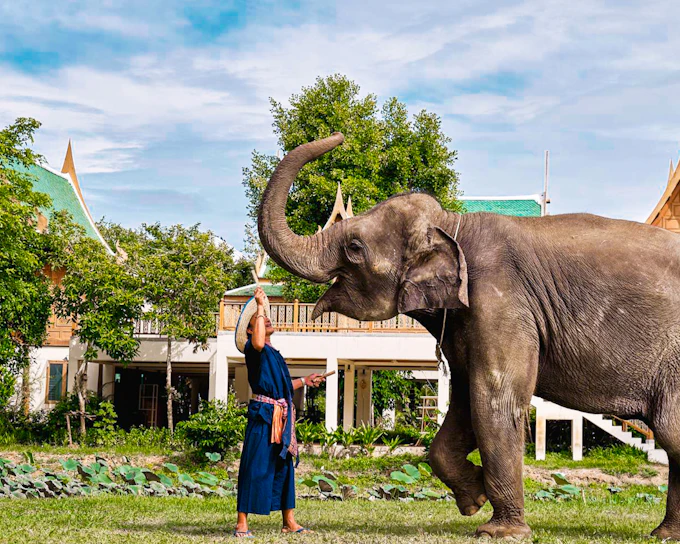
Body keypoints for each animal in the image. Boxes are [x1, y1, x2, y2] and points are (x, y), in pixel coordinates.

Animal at [257, 132, 680, 540]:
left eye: (355, 247)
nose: (339, 135)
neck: (452, 224)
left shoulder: (501, 301)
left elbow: (493, 398)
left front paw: (498, 532)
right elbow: (463, 401)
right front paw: (474, 499)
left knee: (671, 433)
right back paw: (663, 534)